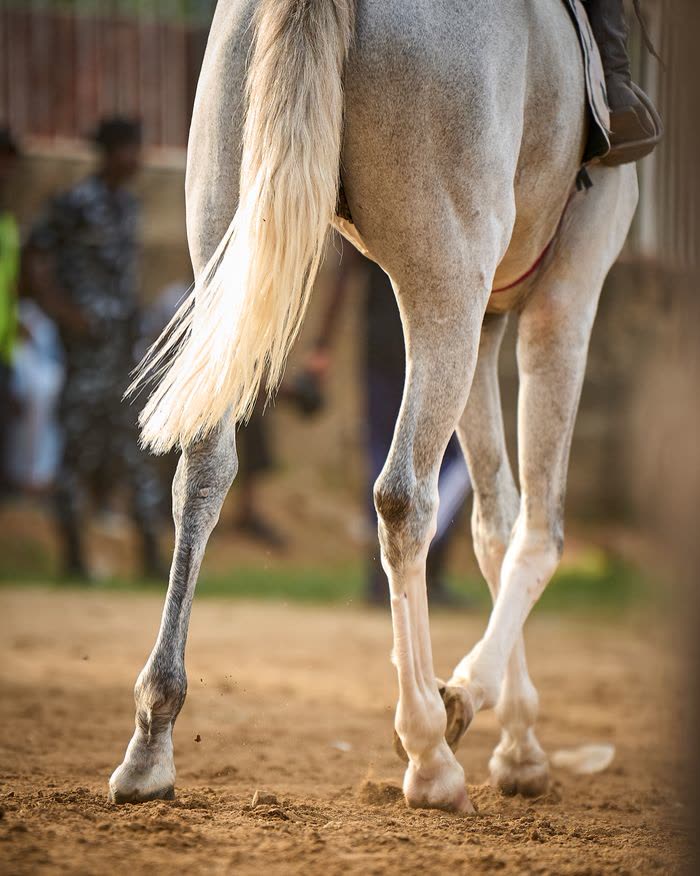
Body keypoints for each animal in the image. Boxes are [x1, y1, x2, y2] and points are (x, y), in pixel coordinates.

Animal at [109, 0, 638, 813]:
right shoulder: (564, 295)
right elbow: (538, 532)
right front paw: (469, 704)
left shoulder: (488, 320)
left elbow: (495, 526)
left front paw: (517, 741)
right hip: (445, 281)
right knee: (404, 497)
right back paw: (427, 750)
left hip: (229, 249)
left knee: (202, 473)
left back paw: (151, 741)